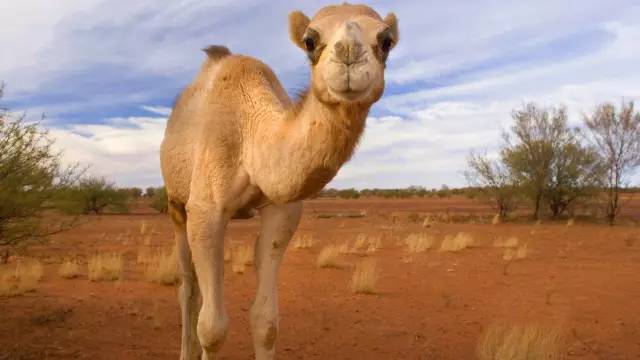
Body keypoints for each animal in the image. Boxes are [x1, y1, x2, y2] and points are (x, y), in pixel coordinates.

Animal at [160, 3, 398, 360]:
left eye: (386, 41)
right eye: (310, 41)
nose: (349, 55)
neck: (250, 134)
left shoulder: (281, 212)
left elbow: (266, 321)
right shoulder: (205, 211)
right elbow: (212, 329)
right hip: (175, 203)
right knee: (187, 288)